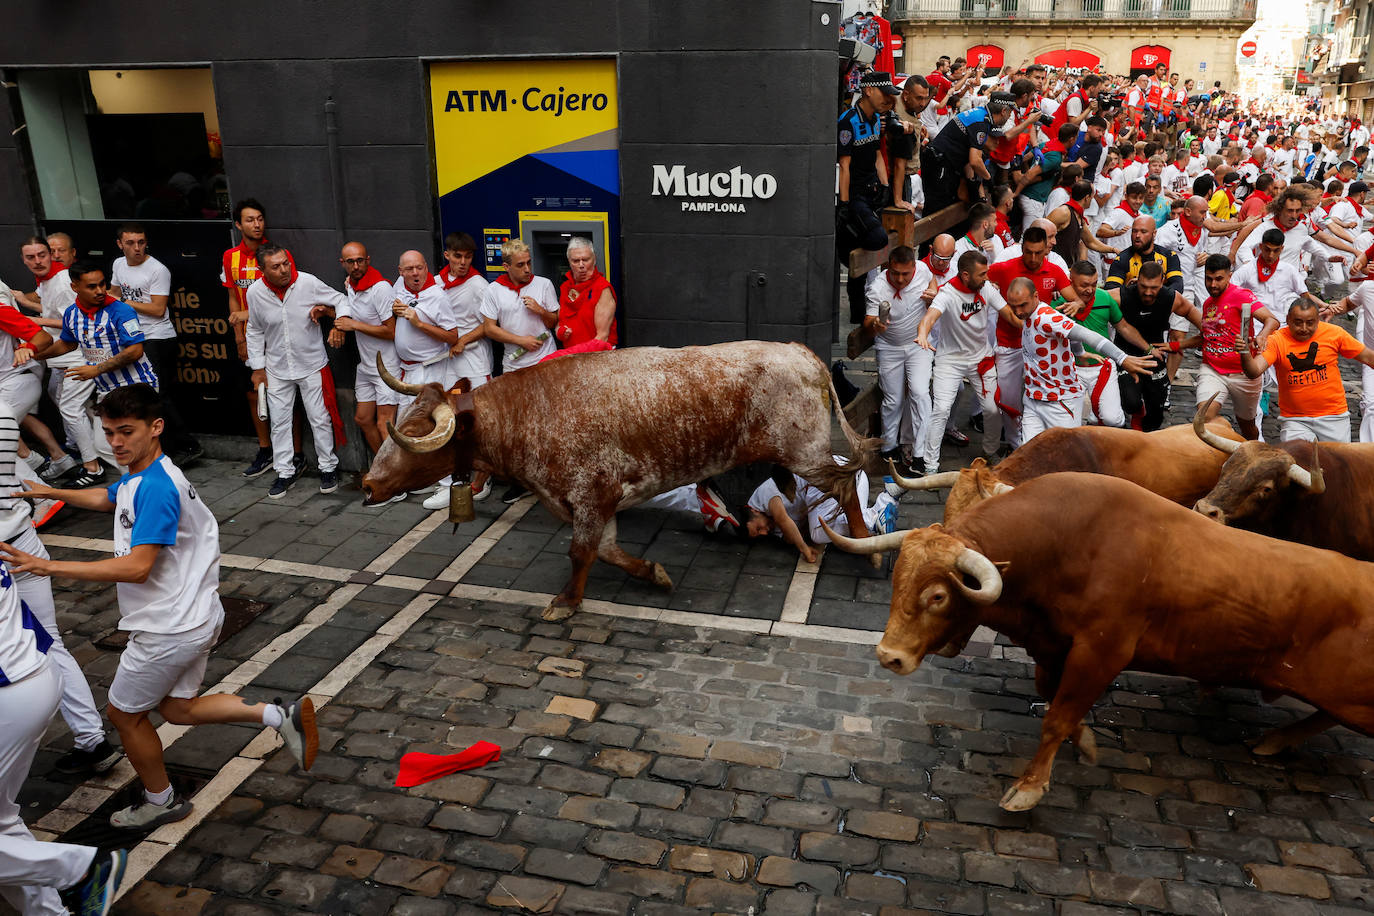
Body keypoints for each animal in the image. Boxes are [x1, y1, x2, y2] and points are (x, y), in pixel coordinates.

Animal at [365, 340, 873, 620]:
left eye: (415, 431)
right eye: (406, 420)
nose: (369, 485)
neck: (527, 413)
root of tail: (800, 353)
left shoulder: (590, 496)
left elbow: (581, 552)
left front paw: (566, 601)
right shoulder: (597, 503)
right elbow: (608, 551)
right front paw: (654, 574)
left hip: (807, 453)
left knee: (846, 485)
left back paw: (864, 546)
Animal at [818, 477, 1374, 813]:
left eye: (937, 596)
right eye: (897, 583)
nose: (889, 656)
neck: (1066, 540)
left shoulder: (1102, 652)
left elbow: (1057, 715)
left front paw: (1030, 786)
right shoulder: (1054, 645)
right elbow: (1055, 698)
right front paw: (1084, 741)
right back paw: (1277, 739)